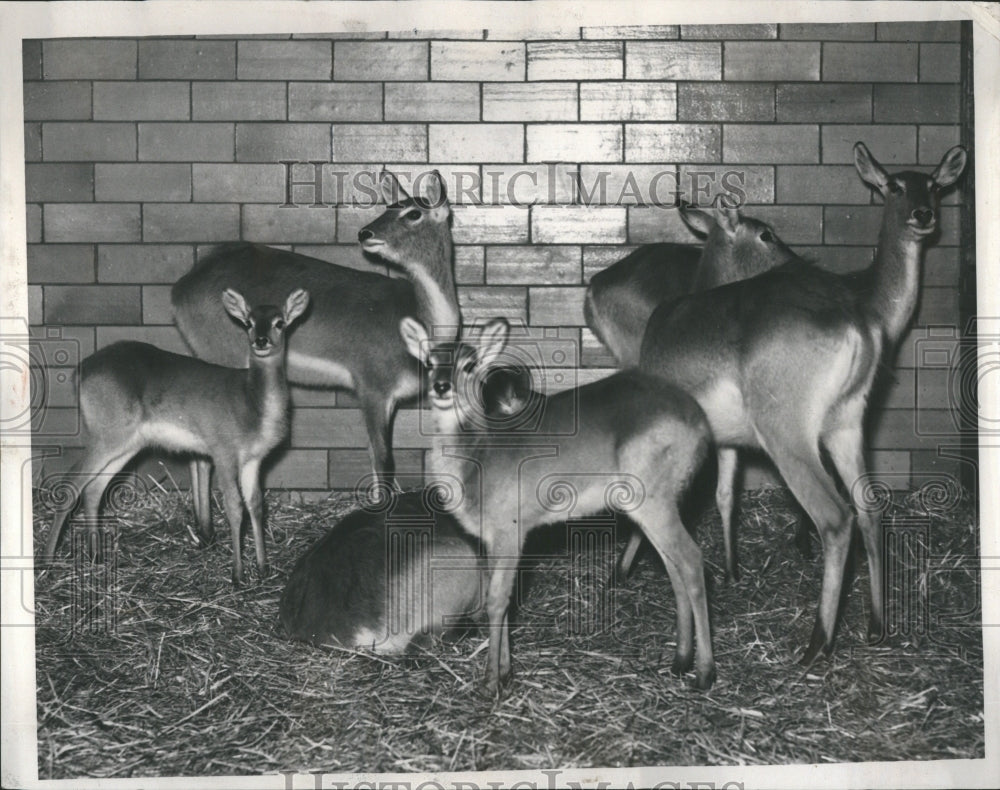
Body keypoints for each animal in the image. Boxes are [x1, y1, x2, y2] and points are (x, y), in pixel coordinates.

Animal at [44, 288, 308, 584]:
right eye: (248, 322)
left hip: (126, 443)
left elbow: (256, 505)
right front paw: (238, 575)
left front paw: (263, 569)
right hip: (105, 434)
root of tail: (80, 372)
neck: (252, 404)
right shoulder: (223, 450)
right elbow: (234, 506)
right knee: (70, 484)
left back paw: (96, 556)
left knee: (93, 488)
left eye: (279, 322)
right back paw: (48, 563)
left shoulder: (254, 459)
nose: (261, 341)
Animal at [173, 171, 460, 532]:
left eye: (412, 212)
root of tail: (181, 287)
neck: (415, 319)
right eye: (389, 207)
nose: (365, 233)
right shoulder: (372, 389)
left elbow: (374, 454)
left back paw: (205, 531)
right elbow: (383, 458)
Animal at [394, 318, 716, 696]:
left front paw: (491, 682)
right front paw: (506, 672)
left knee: (692, 560)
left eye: (469, 364)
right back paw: (680, 661)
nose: (442, 386)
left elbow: (497, 599)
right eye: (428, 362)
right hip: (654, 506)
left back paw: (705, 673)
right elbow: (500, 596)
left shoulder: (511, 528)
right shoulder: (490, 538)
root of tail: (700, 422)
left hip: (654, 498)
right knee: (673, 566)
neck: (478, 458)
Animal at [636, 142, 964, 664]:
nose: (923, 213)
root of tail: (855, 322)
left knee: (835, 516)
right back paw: (875, 626)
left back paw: (816, 645)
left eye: (934, 185)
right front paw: (732, 570)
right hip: (845, 423)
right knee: (869, 506)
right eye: (895, 185)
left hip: (788, 434)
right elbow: (726, 495)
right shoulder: (727, 440)